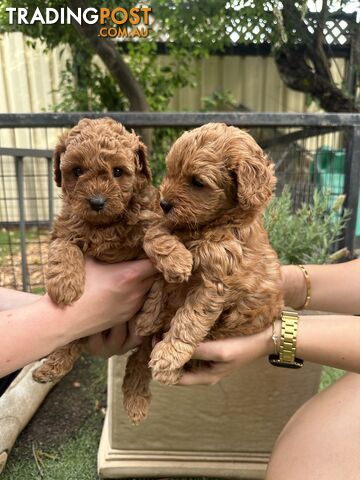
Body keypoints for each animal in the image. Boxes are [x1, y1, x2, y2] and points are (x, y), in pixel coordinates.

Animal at [32, 120, 159, 424]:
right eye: (77, 171)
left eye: (118, 171)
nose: (97, 202)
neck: (104, 225)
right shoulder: (64, 229)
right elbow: (64, 248)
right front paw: (65, 285)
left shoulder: (147, 218)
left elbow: (152, 233)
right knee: (71, 340)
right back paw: (50, 369)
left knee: (140, 360)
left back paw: (135, 401)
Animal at [134, 122, 282, 400]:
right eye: (171, 171)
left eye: (197, 182)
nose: (164, 203)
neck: (208, 227)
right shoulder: (172, 226)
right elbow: (154, 237)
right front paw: (175, 264)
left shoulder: (214, 284)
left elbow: (189, 319)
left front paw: (168, 356)